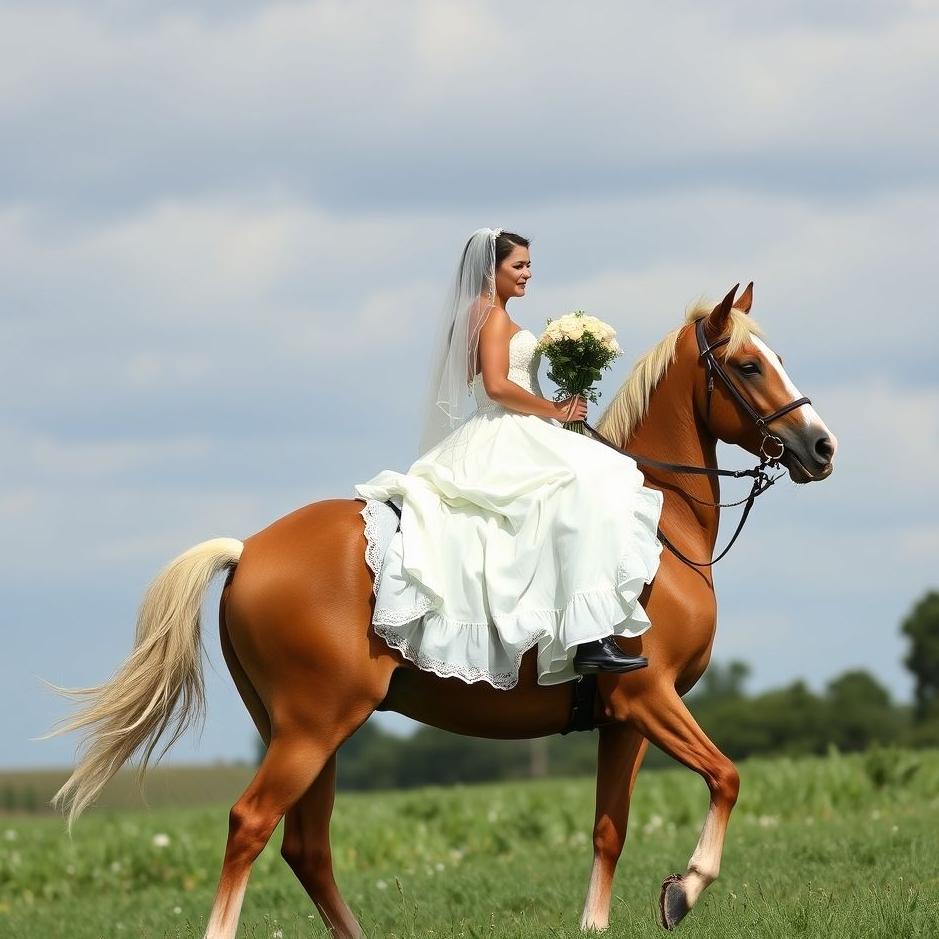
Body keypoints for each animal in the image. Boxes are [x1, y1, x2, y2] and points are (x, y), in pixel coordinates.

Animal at [45, 282, 837, 937]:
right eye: (747, 366)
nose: (822, 446)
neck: (656, 525)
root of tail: (247, 550)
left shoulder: (622, 718)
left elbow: (608, 828)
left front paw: (598, 923)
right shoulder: (649, 696)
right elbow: (726, 776)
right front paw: (686, 887)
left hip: (303, 730)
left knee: (306, 846)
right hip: (312, 727)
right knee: (251, 824)